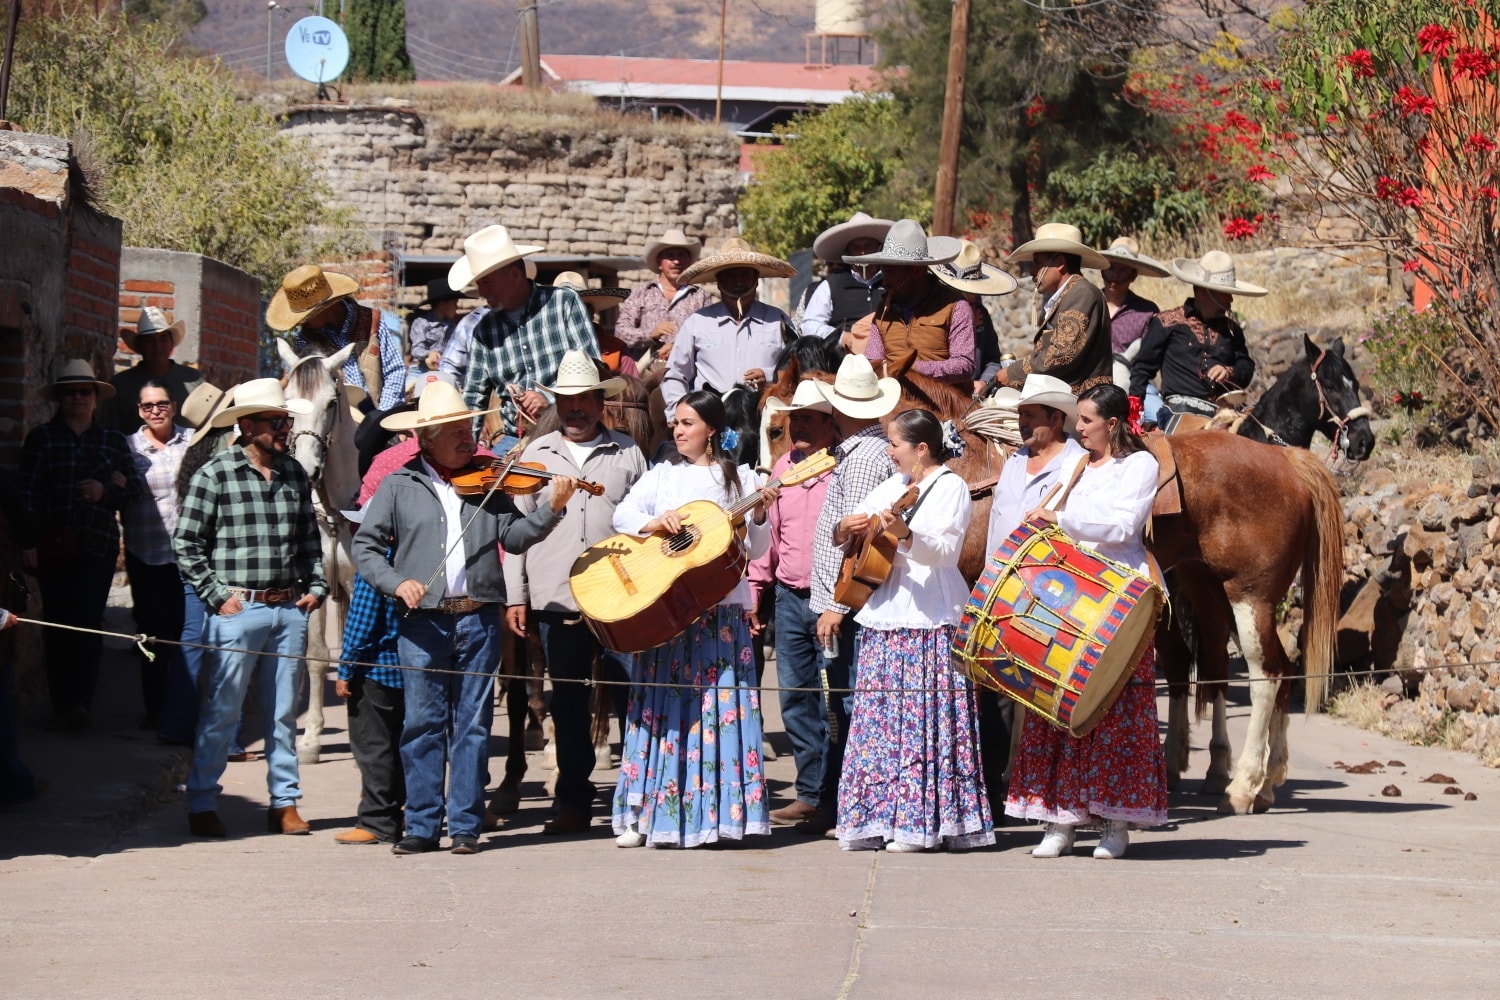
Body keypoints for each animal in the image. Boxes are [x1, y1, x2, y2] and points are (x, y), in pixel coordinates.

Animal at [1146, 431, 1338, 815]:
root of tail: (1286, 458)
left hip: (1248, 598)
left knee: (1266, 674)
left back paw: (1243, 785)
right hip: (1216, 595)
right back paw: (1261, 780)